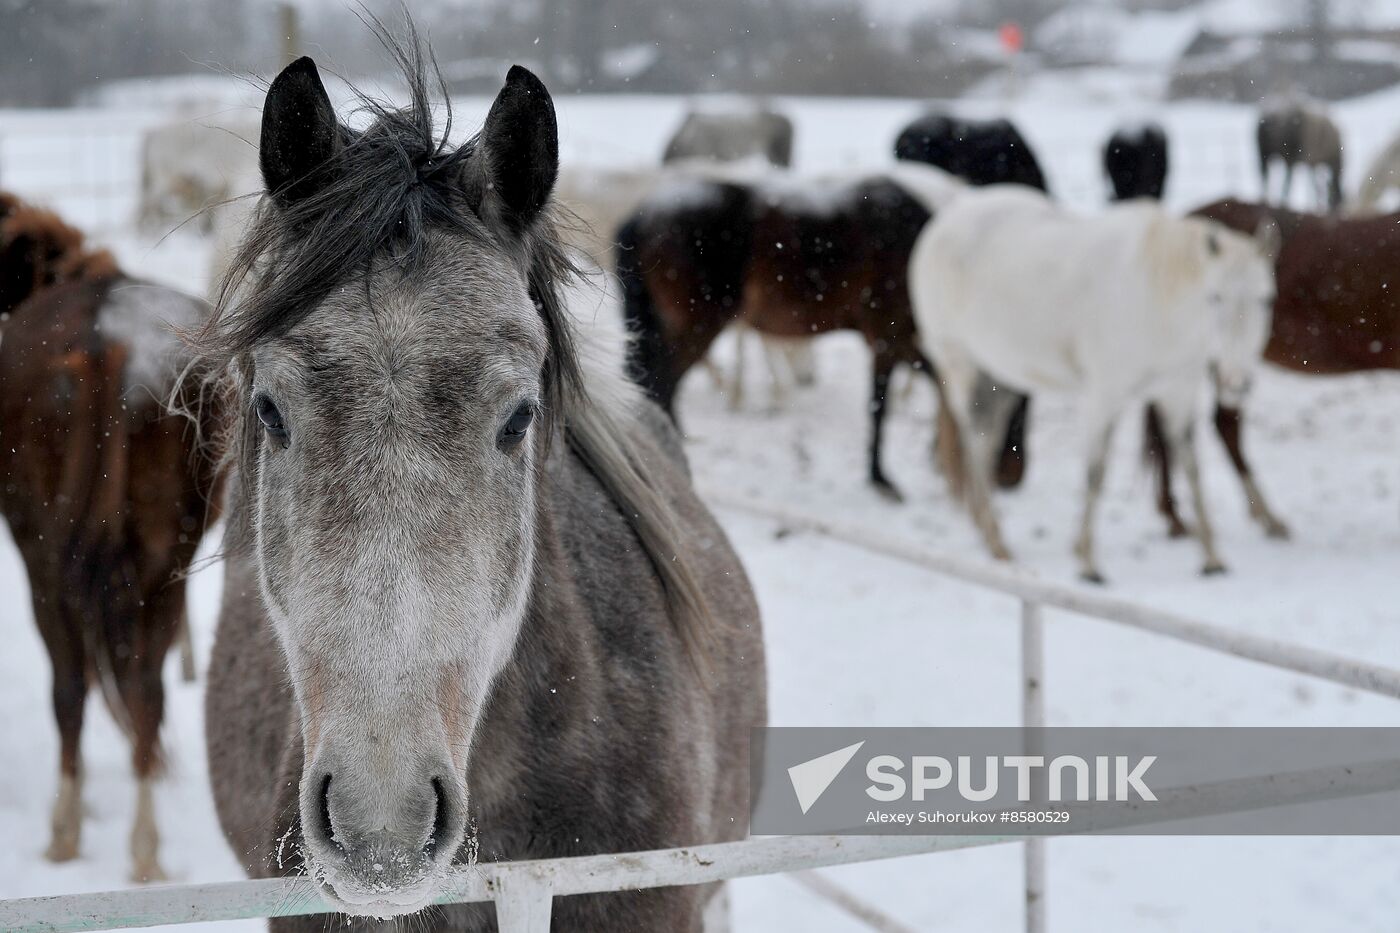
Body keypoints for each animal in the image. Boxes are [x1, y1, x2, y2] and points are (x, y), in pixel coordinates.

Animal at [0, 191, 221, 874]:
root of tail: (105, 345)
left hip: (49, 561)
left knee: (78, 686)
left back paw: (75, 832)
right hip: (156, 562)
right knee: (135, 688)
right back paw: (135, 847)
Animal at [616, 167, 1030, 501]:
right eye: (1017, 409)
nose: (1013, 479)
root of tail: (642, 214)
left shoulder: (900, 342)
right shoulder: (888, 339)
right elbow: (879, 406)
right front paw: (881, 478)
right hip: (696, 330)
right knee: (662, 386)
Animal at [907, 187, 1282, 582]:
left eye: (1267, 299)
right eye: (1215, 297)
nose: (1236, 381)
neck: (1157, 300)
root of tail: (946, 219)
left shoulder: (1177, 392)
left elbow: (1192, 469)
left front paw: (1211, 557)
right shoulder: (1105, 394)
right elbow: (1096, 472)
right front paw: (1087, 562)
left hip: (1001, 375)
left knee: (986, 441)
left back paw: (986, 530)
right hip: (960, 363)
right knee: (975, 444)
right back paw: (996, 540)